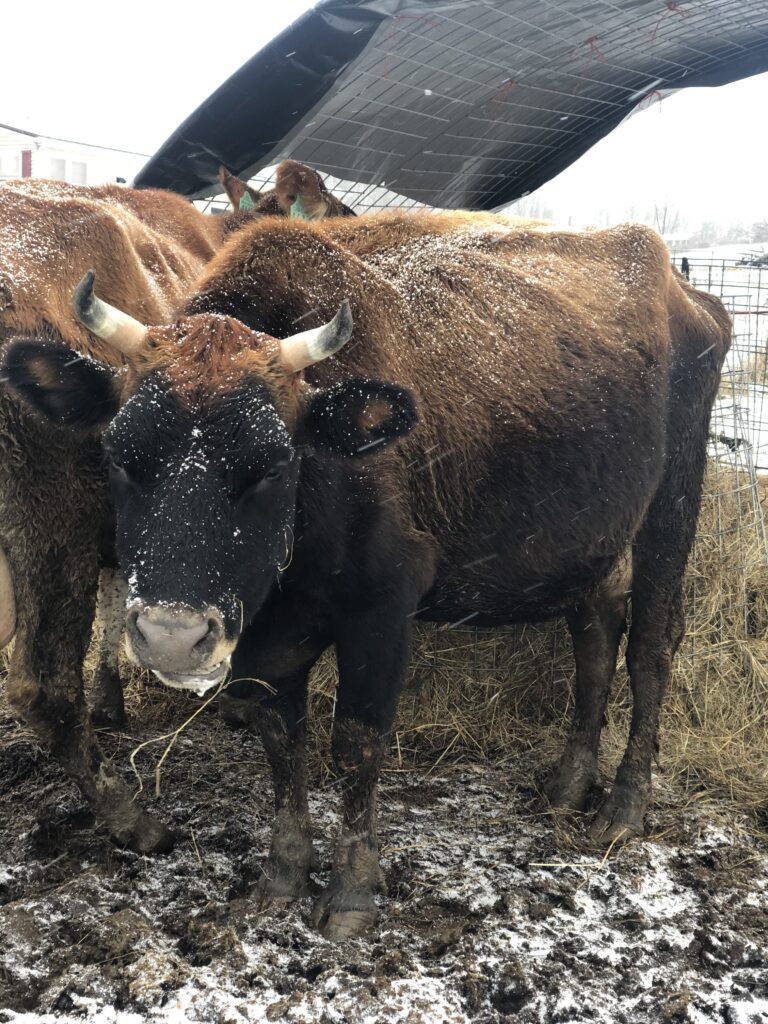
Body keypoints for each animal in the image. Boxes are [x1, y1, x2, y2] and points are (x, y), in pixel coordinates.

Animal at [2, 210, 731, 940]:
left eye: (272, 464)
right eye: (118, 453)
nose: (172, 639)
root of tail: (685, 291)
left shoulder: (382, 612)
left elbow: (356, 741)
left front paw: (351, 890)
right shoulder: (269, 642)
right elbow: (281, 740)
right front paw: (284, 875)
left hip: (673, 506)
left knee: (651, 647)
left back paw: (624, 807)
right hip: (592, 538)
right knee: (595, 636)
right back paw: (568, 784)